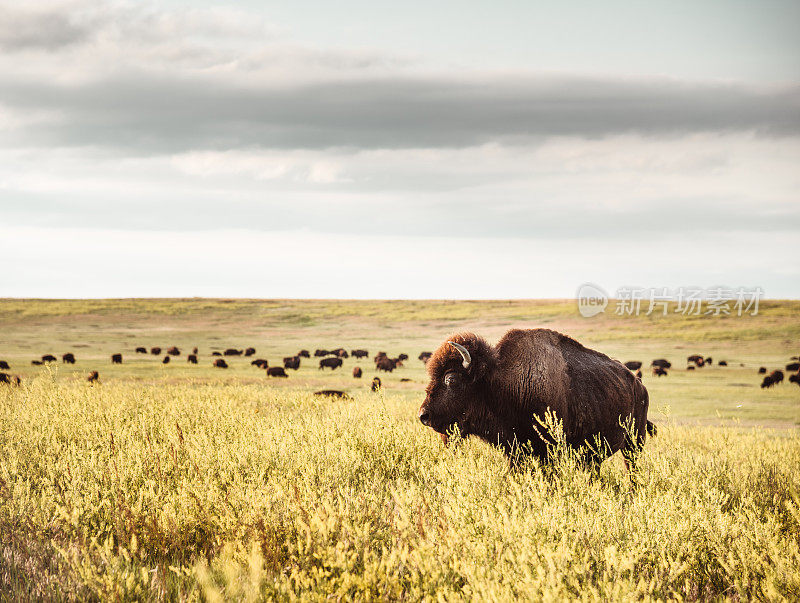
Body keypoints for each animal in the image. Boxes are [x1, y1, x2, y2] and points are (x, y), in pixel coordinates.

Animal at [418, 330, 656, 472]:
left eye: (451, 378)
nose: (424, 416)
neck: (500, 382)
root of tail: (639, 385)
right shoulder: (516, 453)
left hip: (634, 444)